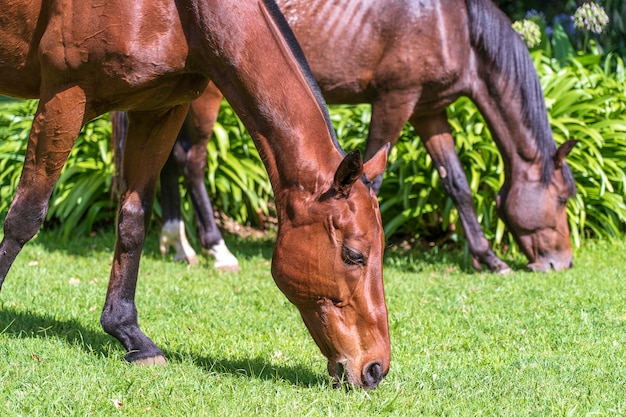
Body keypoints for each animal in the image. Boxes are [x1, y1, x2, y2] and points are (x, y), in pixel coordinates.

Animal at [0, 0, 390, 386]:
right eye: (354, 255)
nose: (375, 368)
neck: (183, 14)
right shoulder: (65, 96)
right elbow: (25, 215)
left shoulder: (159, 109)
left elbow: (133, 222)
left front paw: (129, 333)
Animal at [132, 0, 576, 272]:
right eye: (562, 198)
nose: (562, 262)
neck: (455, 26)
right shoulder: (396, 100)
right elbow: (373, 180)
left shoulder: (430, 111)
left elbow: (458, 184)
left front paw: (488, 258)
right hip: (207, 94)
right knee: (192, 161)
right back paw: (216, 248)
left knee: (169, 160)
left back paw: (178, 244)